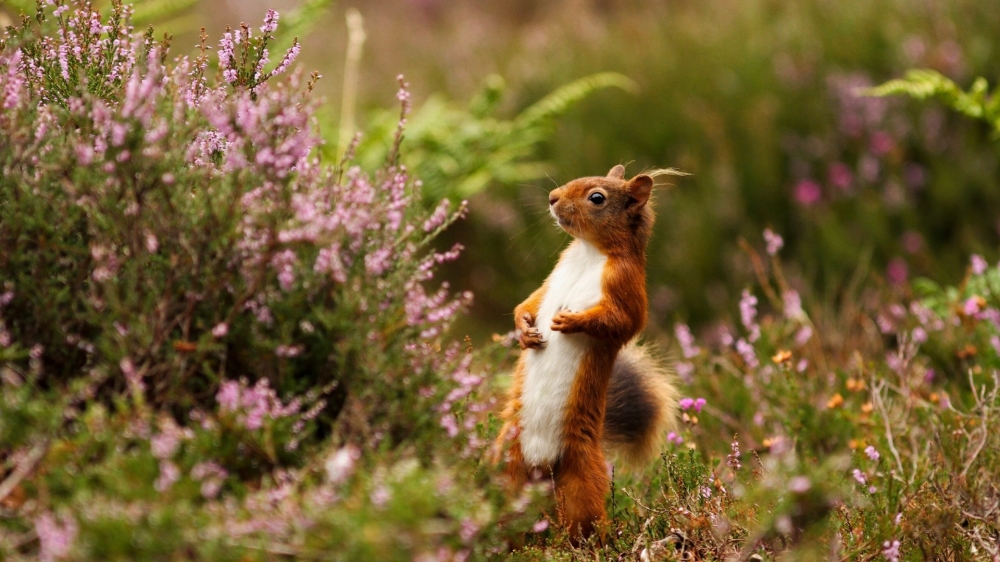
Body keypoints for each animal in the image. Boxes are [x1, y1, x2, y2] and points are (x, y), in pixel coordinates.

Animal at [492, 164, 680, 540]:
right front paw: (525, 331)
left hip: (582, 479)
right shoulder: (552, 278)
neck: (587, 253)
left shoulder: (627, 289)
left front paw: (571, 320)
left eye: (597, 198)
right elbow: (530, 302)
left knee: (586, 521)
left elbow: (619, 322)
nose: (552, 198)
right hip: (504, 462)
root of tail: (540, 470)